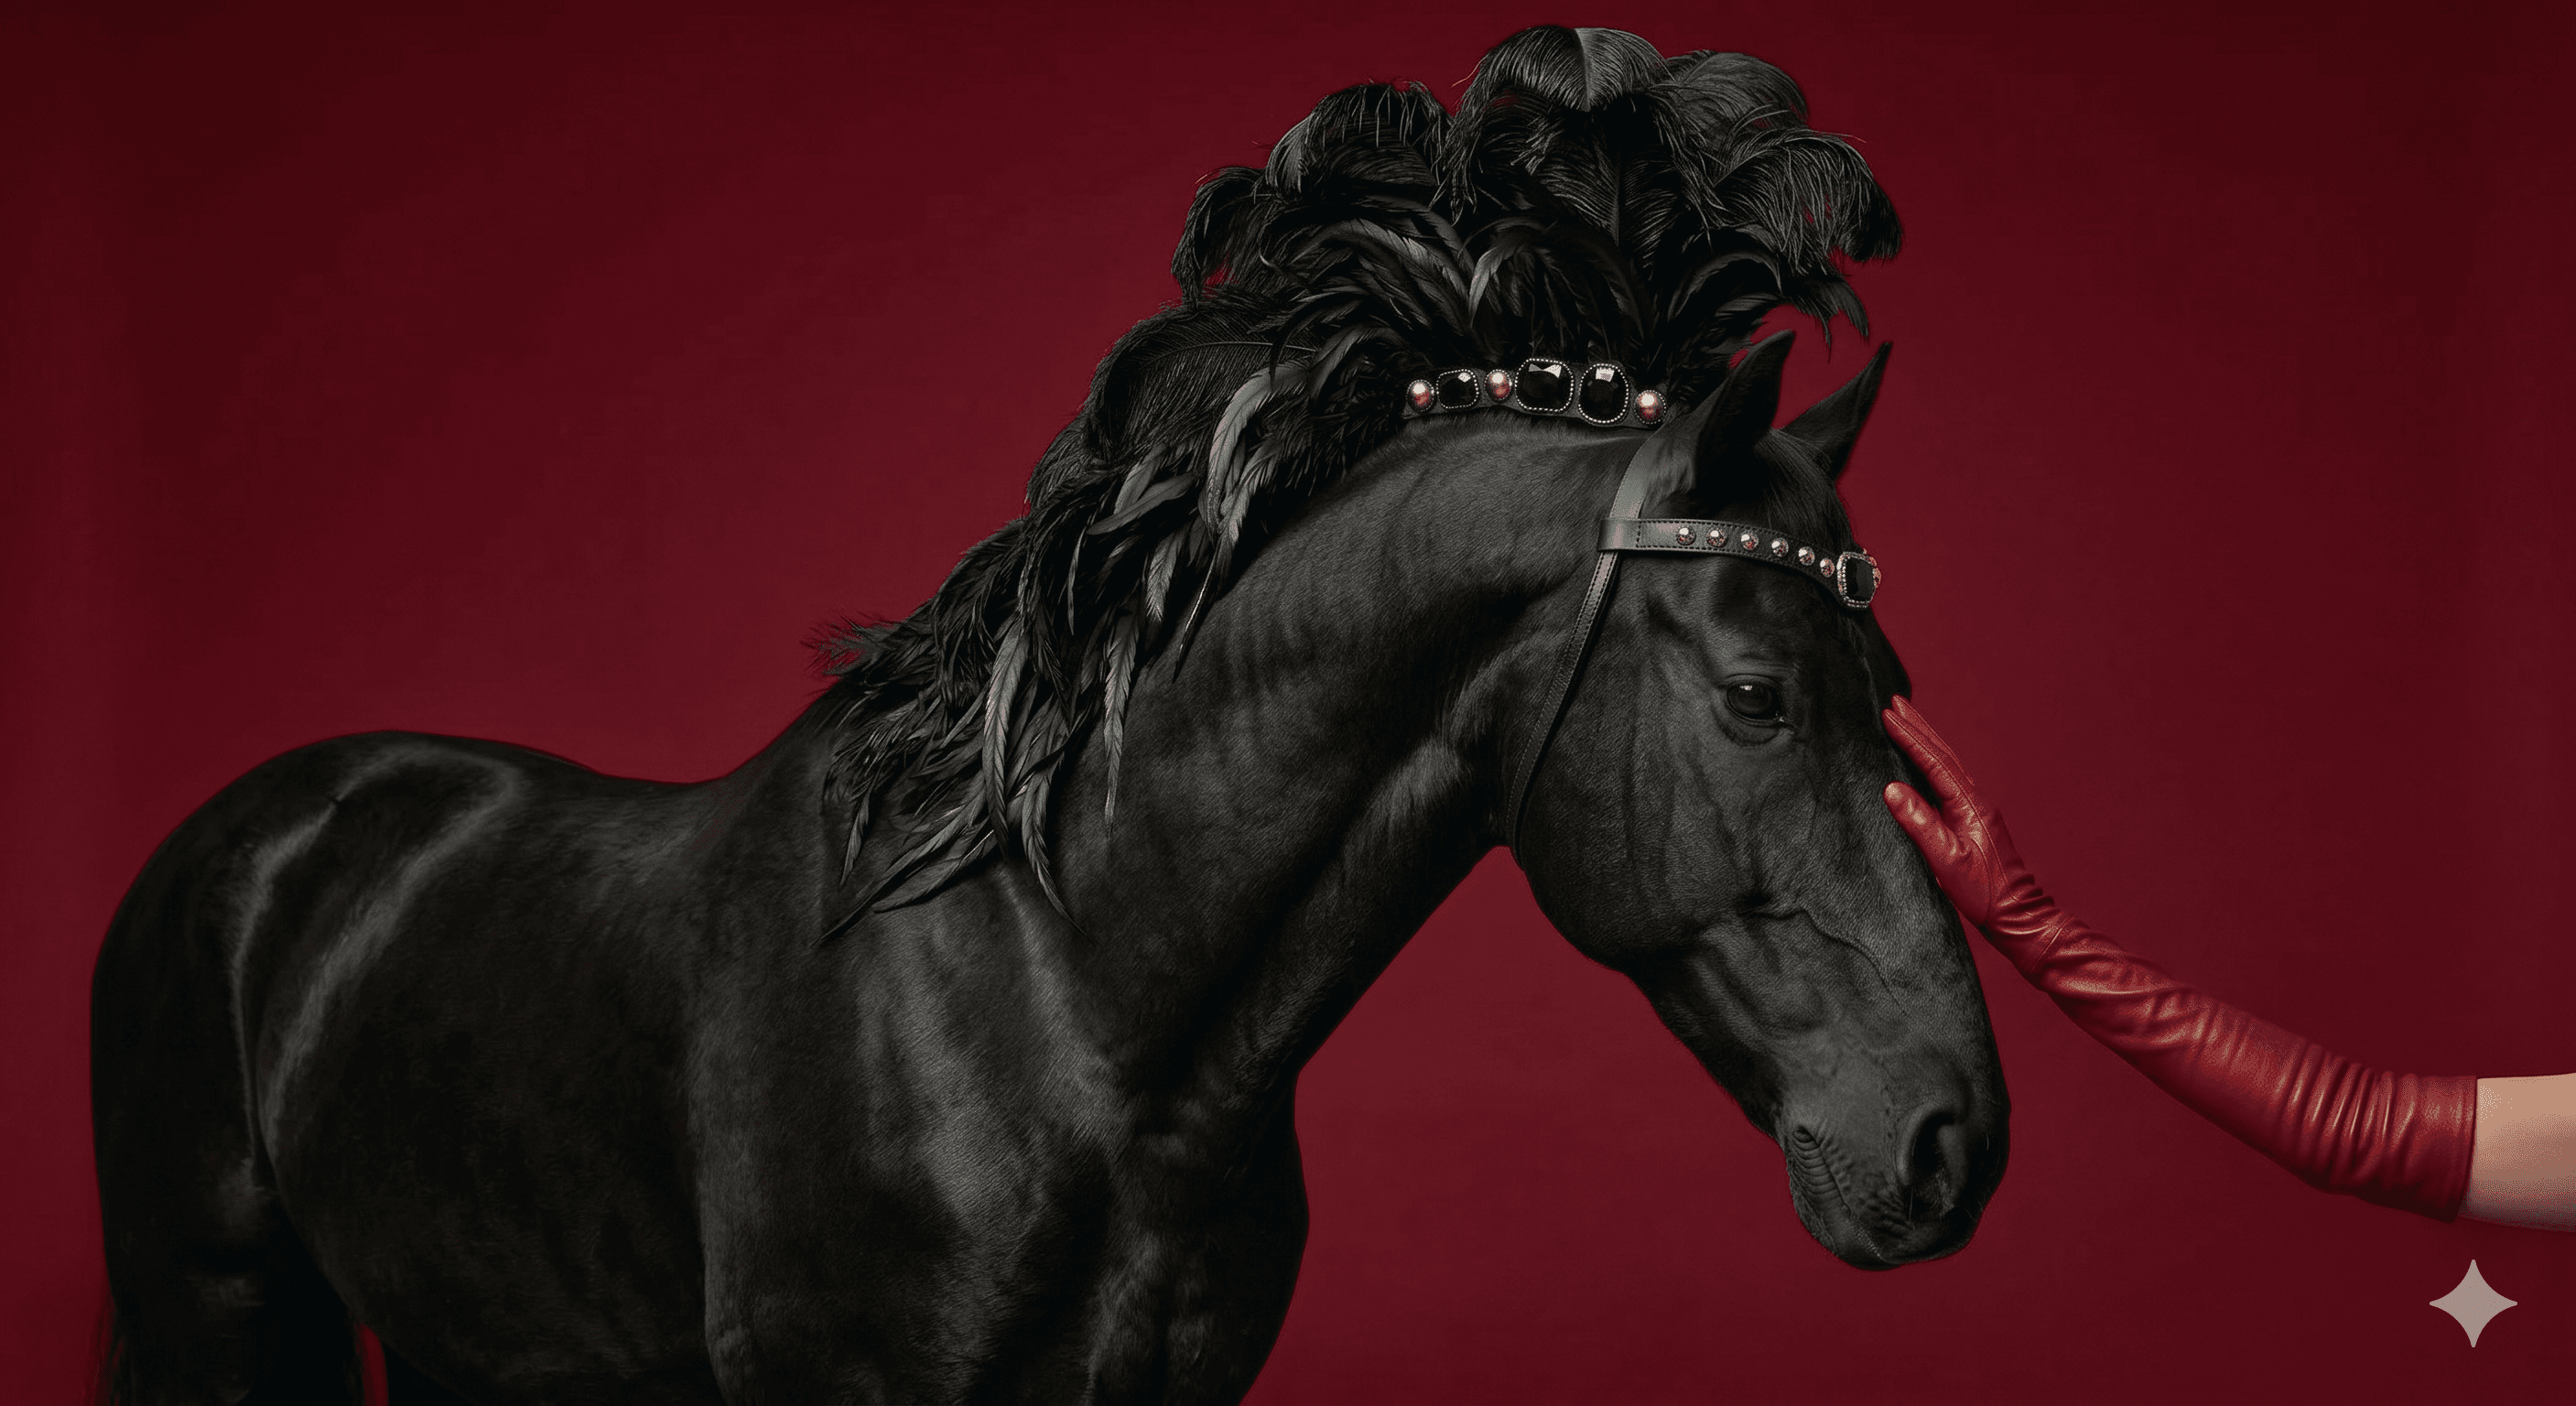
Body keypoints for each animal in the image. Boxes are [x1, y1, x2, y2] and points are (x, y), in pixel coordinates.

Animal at [92, 27, 2008, 1405]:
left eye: (1892, 698)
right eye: (1755, 696)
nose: (1949, 1144)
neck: (1067, 1002)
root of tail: (264, 833)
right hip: (213, 1318)